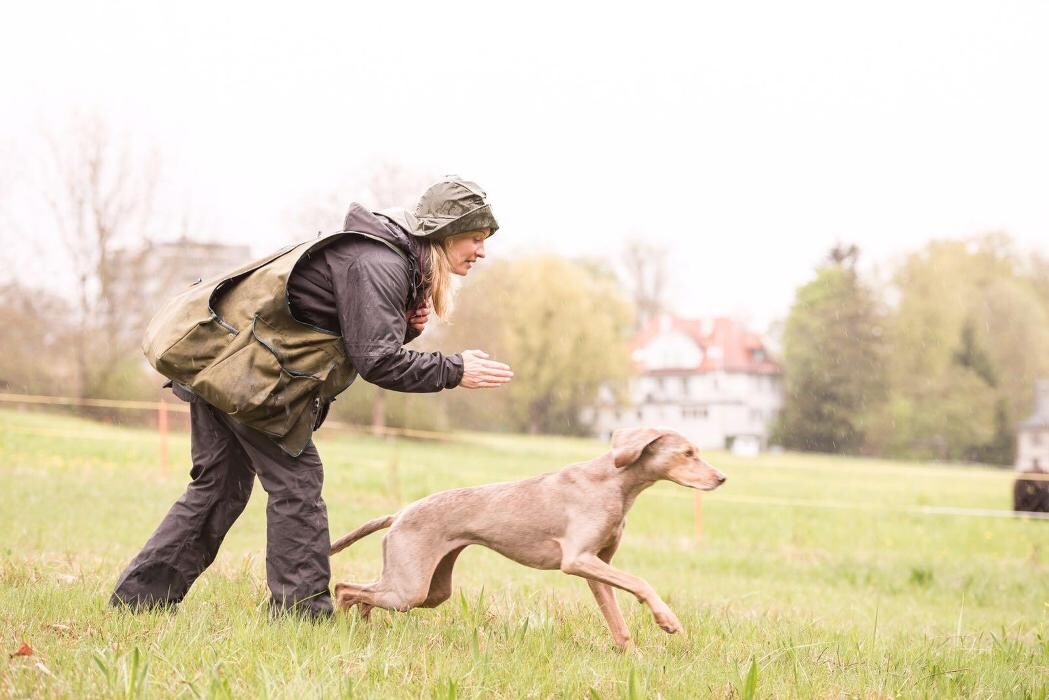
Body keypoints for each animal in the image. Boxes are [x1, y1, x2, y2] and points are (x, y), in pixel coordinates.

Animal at [331, 428, 725, 650]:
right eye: (687, 453)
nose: (721, 478)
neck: (614, 483)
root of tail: (399, 513)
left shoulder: (596, 567)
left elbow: (618, 623)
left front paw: (633, 659)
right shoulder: (578, 560)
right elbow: (642, 583)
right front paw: (667, 620)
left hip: (429, 589)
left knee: (363, 595)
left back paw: (362, 627)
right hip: (410, 588)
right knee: (344, 588)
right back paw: (339, 627)